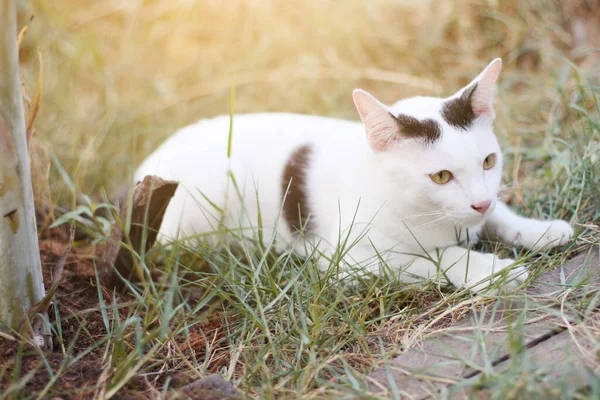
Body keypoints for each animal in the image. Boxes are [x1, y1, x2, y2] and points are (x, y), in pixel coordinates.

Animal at [134, 57, 576, 292]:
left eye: (488, 162)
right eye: (440, 177)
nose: (479, 202)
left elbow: (498, 214)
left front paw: (537, 230)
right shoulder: (349, 260)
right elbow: (435, 257)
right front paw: (489, 270)